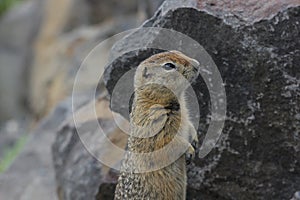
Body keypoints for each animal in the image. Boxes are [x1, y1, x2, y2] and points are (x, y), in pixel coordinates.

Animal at [113, 50, 200, 199]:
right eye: (169, 66)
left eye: (178, 51)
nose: (197, 64)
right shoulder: (155, 123)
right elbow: (168, 141)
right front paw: (189, 149)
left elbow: (189, 125)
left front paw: (194, 139)